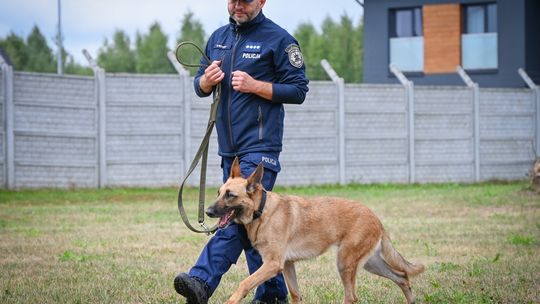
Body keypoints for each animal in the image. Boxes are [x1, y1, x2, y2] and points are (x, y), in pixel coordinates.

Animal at [205, 159, 424, 304]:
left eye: (230, 195)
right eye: (218, 193)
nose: (207, 212)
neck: (262, 210)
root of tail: (376, 218)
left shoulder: (273, 264)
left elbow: (244, 283)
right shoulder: (287, 265)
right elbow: (295, 295)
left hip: (344, 263)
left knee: (352, 297)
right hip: (370, 263)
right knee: (402, 277)